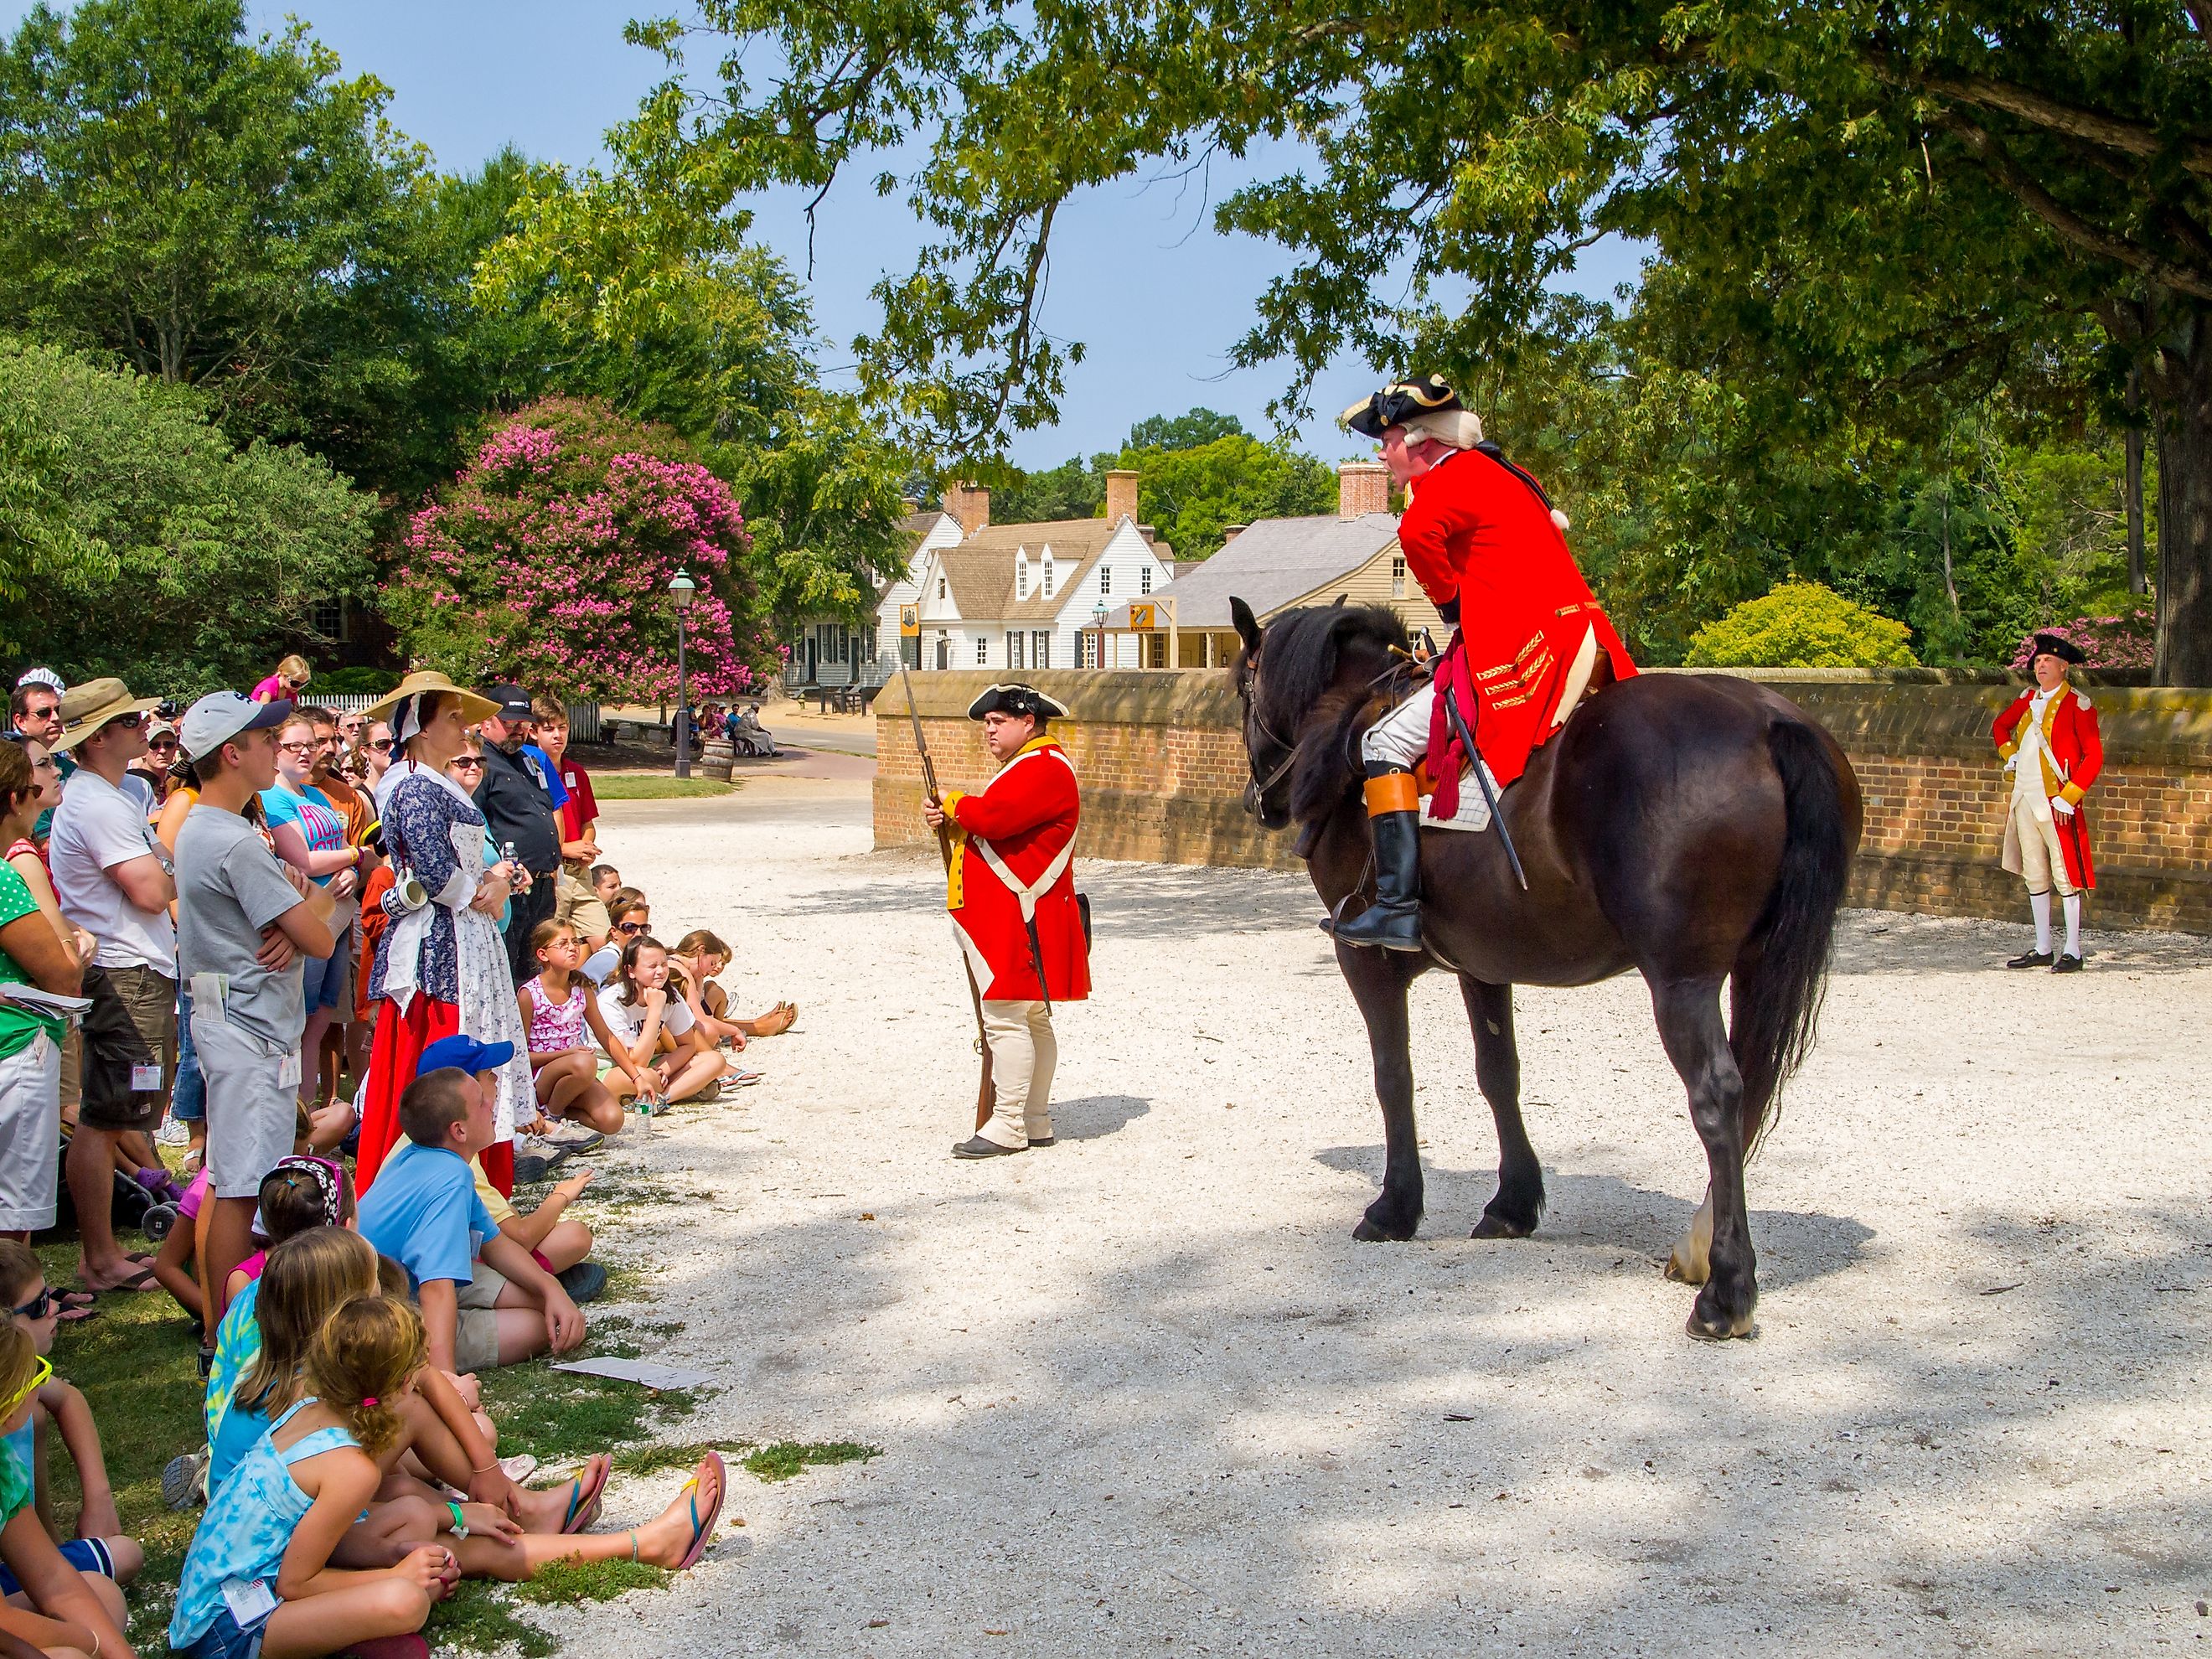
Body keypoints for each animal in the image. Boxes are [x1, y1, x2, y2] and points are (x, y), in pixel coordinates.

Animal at [1238, 597, 1858, 1336]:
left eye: (1243, 689)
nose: (1260, 803)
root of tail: (1768, 719)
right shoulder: (1482, 963)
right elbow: (1499, 1075)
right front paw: (1512, 1202)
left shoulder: (1365, 959)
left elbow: (1393, 1078)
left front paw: (1393, 1208)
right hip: (1756, 968)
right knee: (1754, 1087)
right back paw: (1701, 1248)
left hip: (1682, 982)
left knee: (1719, 1095)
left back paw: (1726, 1289)